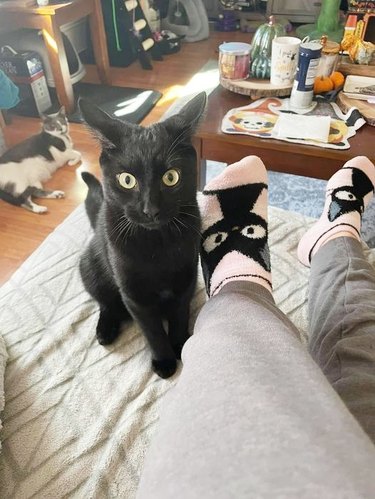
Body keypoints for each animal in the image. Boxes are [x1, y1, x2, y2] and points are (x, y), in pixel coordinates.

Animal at [80, 92, 209, 378]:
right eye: (127, 180)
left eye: (171, 177)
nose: (151, 209)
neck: (157, 244)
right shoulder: (134, 295)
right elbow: (152, 330)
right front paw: (164, 361)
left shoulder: (186, 278)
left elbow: (179, 315)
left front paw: (180, 345)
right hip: (90, 268)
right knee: (106, 303)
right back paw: (105, 330)